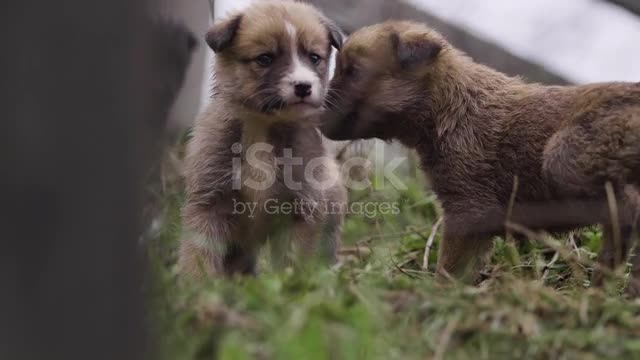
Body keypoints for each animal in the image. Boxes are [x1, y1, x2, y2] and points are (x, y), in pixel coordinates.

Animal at [178, 1, 348, 278]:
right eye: (265, 58)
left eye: (314, 57)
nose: (303, 86)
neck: (262, 125)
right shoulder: (209, 204)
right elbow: (199, 257)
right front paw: (197, 287)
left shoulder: (301, 207)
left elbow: (293, 262)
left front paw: (292, 285)